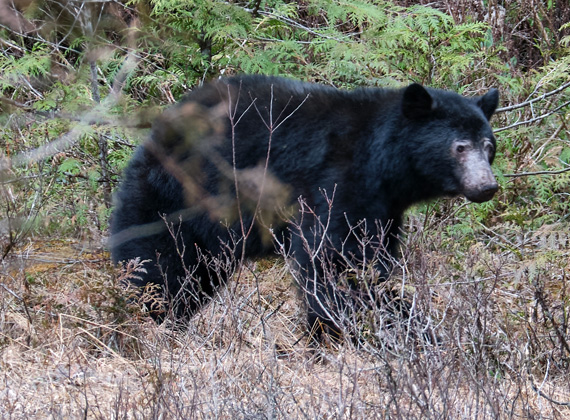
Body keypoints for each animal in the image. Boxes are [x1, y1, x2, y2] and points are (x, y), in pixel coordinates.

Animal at [110, 75, 496, 338]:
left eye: (488, 145)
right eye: (460, 147)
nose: (487, 186)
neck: (381, 162)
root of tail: (156, 133)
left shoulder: (385, 208)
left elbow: (372, 258)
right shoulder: (336, 184)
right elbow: (334, 263)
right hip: (175, 197)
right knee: (157, 264)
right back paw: (146, 319)